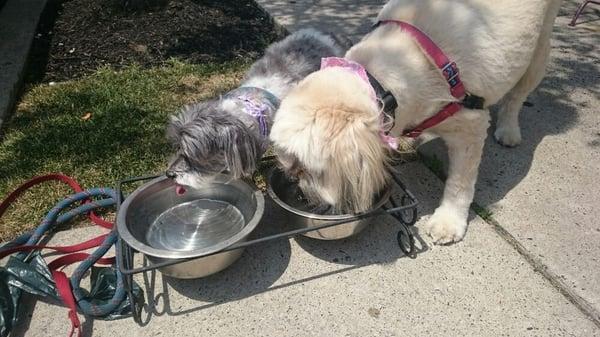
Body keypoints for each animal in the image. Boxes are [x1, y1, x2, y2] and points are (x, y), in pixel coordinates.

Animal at [270, 0, 564, 242]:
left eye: (307, 169)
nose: (297, 188)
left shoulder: (471, 127)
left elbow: (460, 182)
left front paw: (449, 221)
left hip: (539, 48)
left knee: (518, 94)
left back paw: (509, 129)